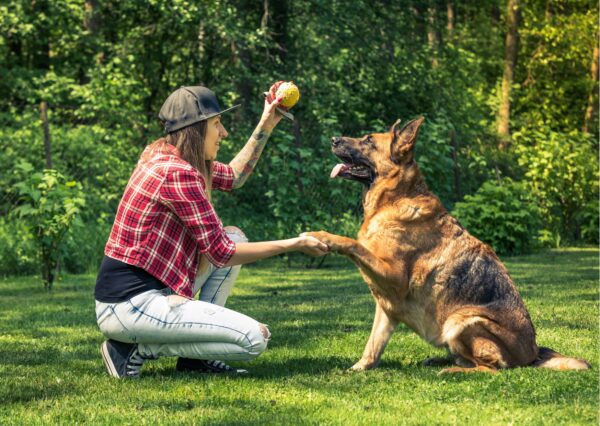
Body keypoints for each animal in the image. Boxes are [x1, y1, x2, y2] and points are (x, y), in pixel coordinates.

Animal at [308, 117, 588, 372]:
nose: (333, 139)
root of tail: (533, 354)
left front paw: (323, 236)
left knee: (490, 367)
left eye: (368, 140)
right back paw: (440, 360)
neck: (395, 198)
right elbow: (373, 345)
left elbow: (352, 244)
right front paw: (360, 368)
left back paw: (453, 370)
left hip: (461, 321)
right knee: (468, 359)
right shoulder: (386, 307)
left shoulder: (394, 277)